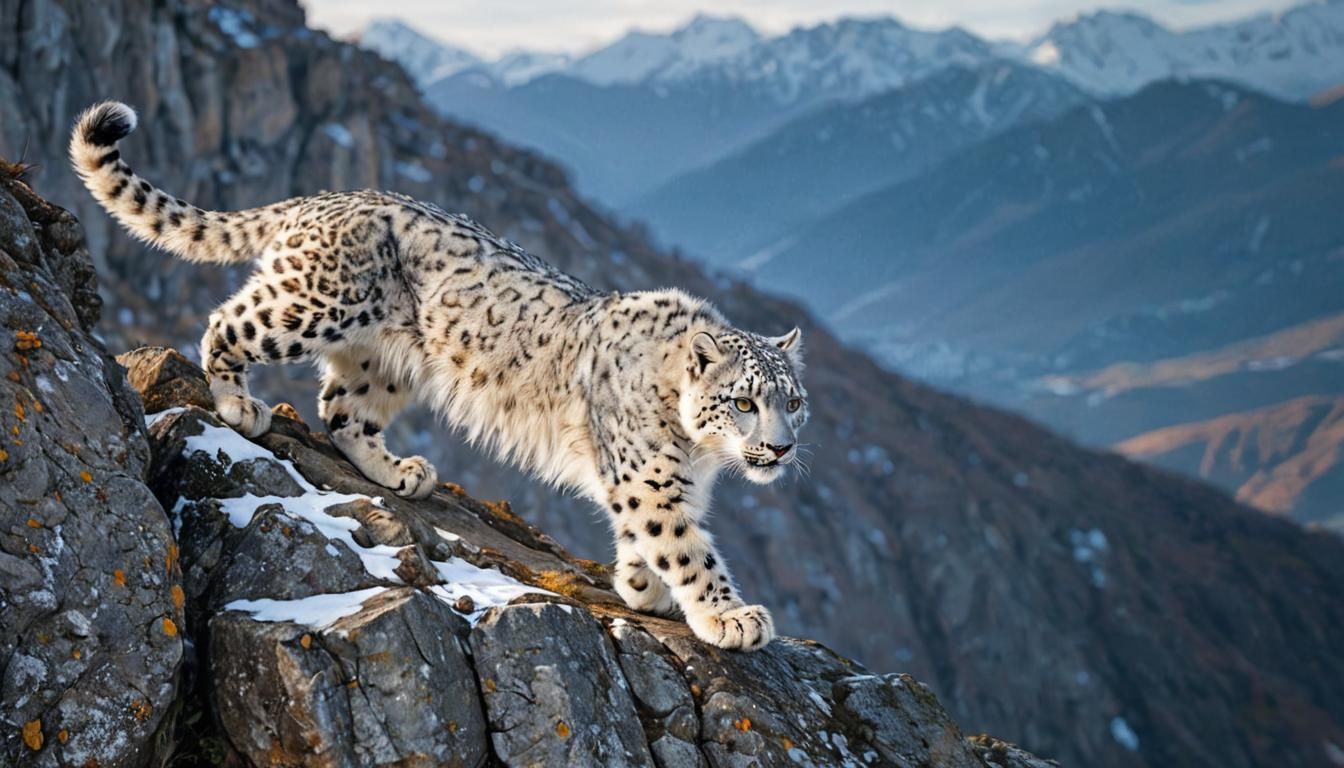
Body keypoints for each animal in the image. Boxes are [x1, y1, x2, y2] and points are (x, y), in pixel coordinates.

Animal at [70, 101, 809, 650]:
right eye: (744, 402)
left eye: (794, 402)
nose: (781, 448)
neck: (701, 454)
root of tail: (325, 198)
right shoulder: (649, 477)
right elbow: (685, 544)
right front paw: (729, 615)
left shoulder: (649, 479)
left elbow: (647, 536)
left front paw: (640, 585)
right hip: (315, 305)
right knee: (230, 322)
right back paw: (237, 404)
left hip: (384, 359)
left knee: (341, 409)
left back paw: (400, 472)